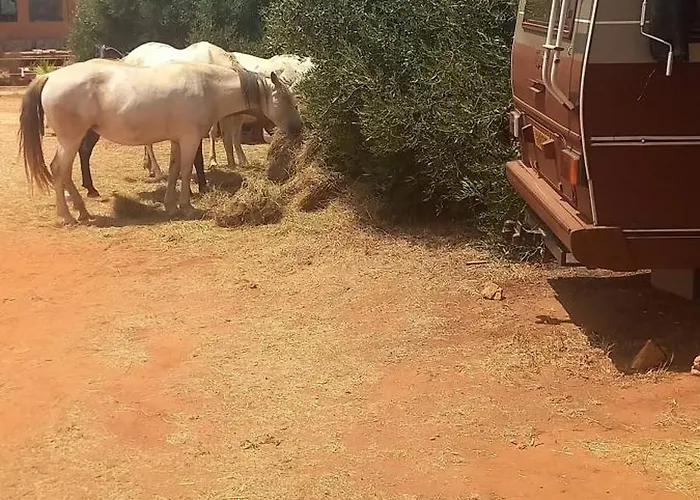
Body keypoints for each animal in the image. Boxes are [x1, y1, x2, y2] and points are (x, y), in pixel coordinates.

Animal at [18, 58, 302, 226]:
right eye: (285, 99)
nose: (298, 129)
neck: (206, 86)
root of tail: (50, 77)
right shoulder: (189, 139)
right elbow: (186, 171)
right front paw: (186, 207)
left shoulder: (178, 140)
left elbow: (175, 170)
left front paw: (171, 206)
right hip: (71, 138)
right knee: (59, 169)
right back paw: (66, 216)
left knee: (64, 172)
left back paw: (82, 211)